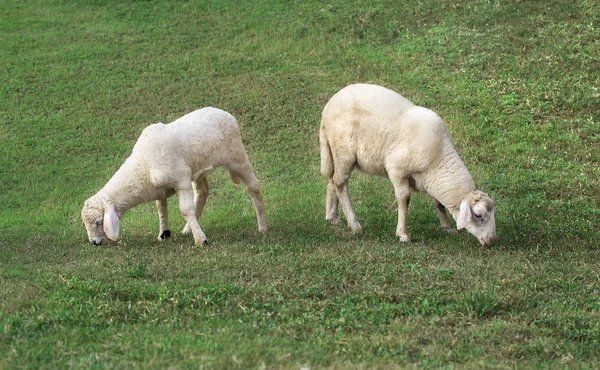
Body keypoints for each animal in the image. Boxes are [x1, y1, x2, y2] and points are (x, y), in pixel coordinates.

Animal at [81, 107, 268, 246]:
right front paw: (164, 233)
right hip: (198, 168)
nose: (94, 242)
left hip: (237, 156)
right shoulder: (160, 188)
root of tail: (228, 115)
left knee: (253, 186)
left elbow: (185, 209)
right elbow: (161, 208)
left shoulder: (181, 180)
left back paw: (263, 226)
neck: (143, 166)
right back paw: (188, 229)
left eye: (99, 222)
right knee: (202, 192)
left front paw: (201, 240)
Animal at [318, 84, 496, 246]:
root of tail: (328, 108)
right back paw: (354, 225)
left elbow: (438, 202)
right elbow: (404, 199)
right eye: (479, 216)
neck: (439, 159)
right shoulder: (397, 170)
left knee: (332, 180)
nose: (492, 240)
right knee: (340, 183)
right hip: (344, 151)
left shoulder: (431, 178)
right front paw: (403, 234)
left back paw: (332, 217)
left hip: (335, 152)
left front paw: (447, 227)